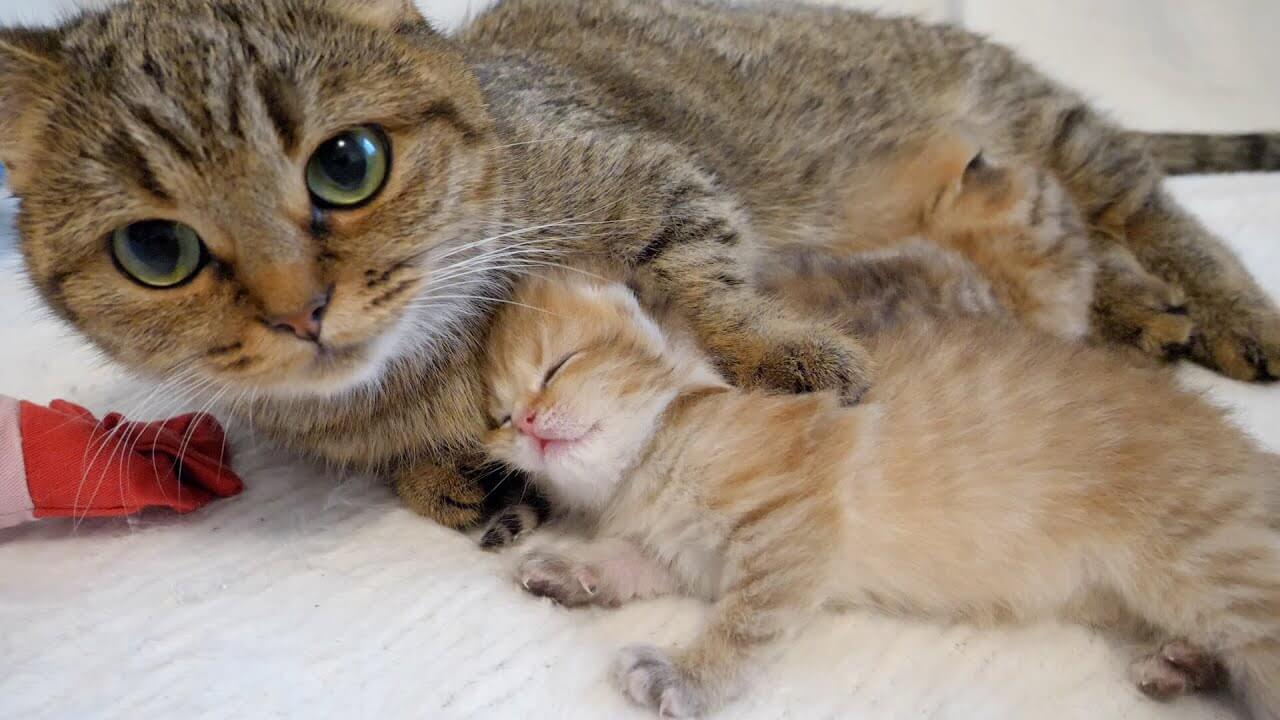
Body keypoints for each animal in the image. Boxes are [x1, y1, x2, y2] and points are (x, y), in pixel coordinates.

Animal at [1, 0, 1278, 538]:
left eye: (347, 165)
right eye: (155, 250)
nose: (298, 311)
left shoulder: (653, 178)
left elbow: (701, 274)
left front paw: (775, 345)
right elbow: (378, 451)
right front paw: (434, 473)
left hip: (1043, 123)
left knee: (1145, 207)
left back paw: (1221, 305)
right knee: (1067, 250)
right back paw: (1142, 310)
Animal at [483, 272, 1280, 719]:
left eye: (559, 365)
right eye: (498, 416)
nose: (529, 423)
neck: (659, 446)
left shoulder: (796, 522)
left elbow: (748, 621)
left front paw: (689, 674)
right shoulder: (687, 555)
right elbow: (630, 560)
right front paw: (573, 570)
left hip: (1213, 565)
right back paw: (1181, 664)